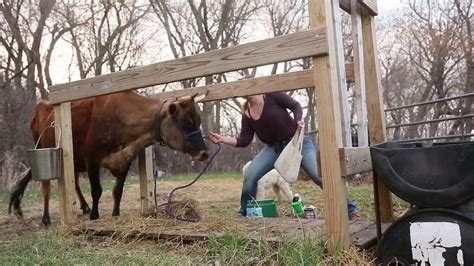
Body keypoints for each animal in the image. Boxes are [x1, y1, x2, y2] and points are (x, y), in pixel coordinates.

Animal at [8, 91, 209, 224]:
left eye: (199, 120)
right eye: (187, 122)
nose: (205, 153)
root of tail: (43, 104)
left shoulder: (126, 160)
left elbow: (117, 190)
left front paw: (115, 213)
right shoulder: (91, 158)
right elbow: (97, 190)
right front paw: (95, 216)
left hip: (74, 159)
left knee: (74, 181)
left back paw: (83, 206)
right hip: (43, 147)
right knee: (46, 187)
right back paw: (46, 218)